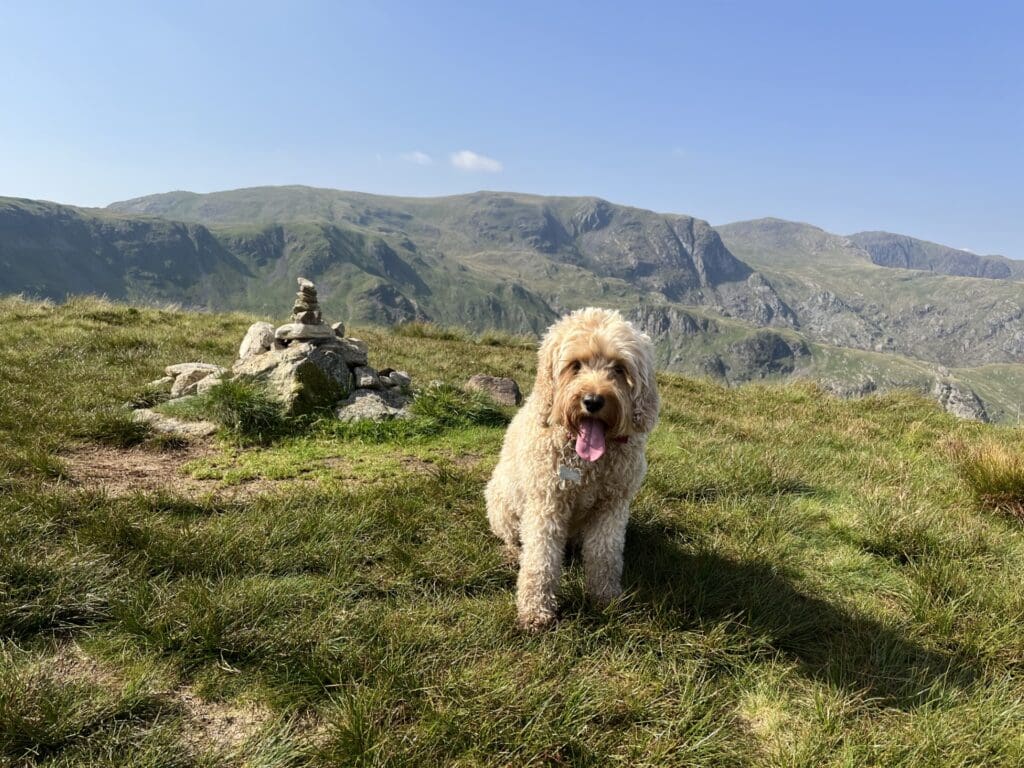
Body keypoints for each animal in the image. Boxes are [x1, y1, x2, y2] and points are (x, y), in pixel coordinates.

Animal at [485, 307, 659, 630]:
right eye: (575, 365)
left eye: (619, 368)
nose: (593, 401)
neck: (587, 465)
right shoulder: (547, 503)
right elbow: (540, 559)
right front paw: (535, 610)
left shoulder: (612, 506)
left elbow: (605, 555)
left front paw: (605, 598)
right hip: (501, 501)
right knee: (514, 537)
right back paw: (512, 552)